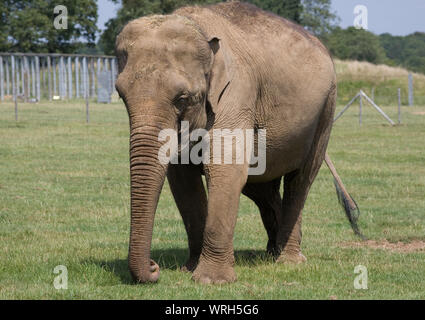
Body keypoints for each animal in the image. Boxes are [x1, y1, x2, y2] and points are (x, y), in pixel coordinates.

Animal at [114, 0, 336, 284]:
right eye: (121, 95)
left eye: (182, 99)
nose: (154, 267)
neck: (199, 30)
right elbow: (183, 179)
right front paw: (191, 268)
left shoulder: (236, 93)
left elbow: (224, 169)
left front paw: (211, 280)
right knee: (263, 187)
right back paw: (271, 252)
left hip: (325, 112)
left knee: (300, 180)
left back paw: (288, 260)